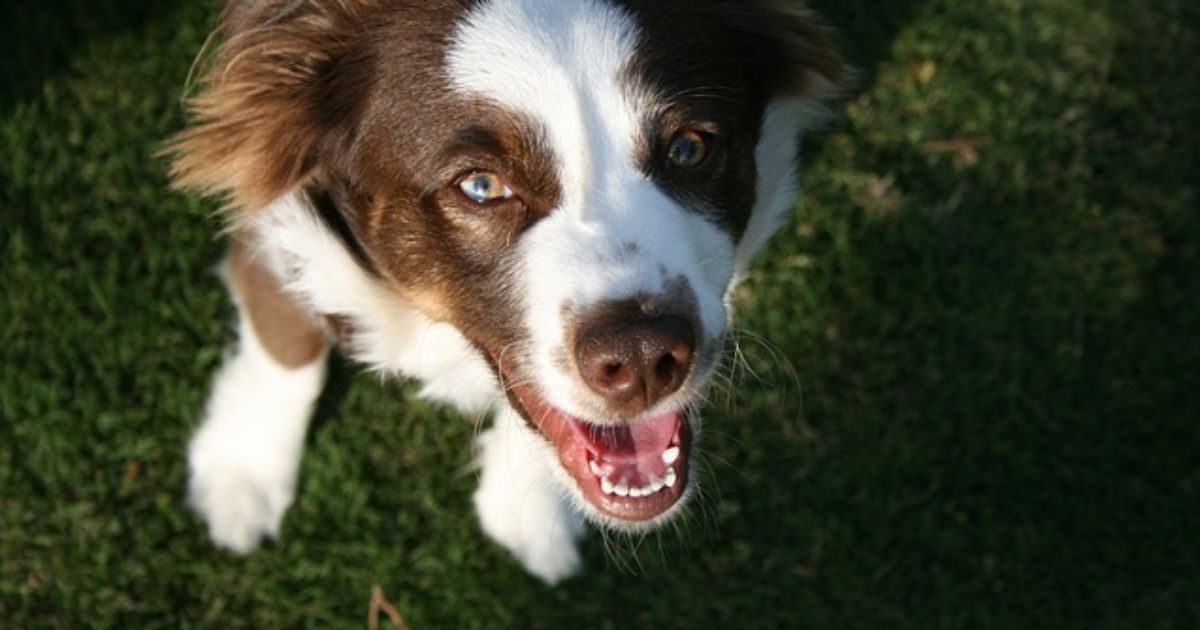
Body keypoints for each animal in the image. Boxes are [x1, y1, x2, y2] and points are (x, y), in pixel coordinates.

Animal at [169, 0, 844, 583]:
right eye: (481, 186)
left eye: (689, 147)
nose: (645, 359)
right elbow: (287, 344)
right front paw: (242, 471)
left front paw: (529, 516)